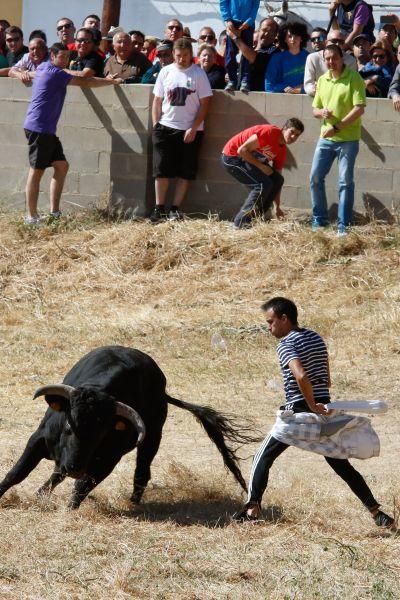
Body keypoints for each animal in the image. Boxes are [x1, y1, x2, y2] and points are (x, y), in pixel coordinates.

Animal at [0, 344, 256, 508]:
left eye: (100, 436)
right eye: (68, 428)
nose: (74, 467)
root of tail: (163, 390)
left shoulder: (107, 460)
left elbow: (82, 486)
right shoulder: (38, 439)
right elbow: (16, 473)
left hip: (152, 437)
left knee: (142, 471)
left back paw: (133, 503)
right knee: (56, 473)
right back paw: (41, 493)